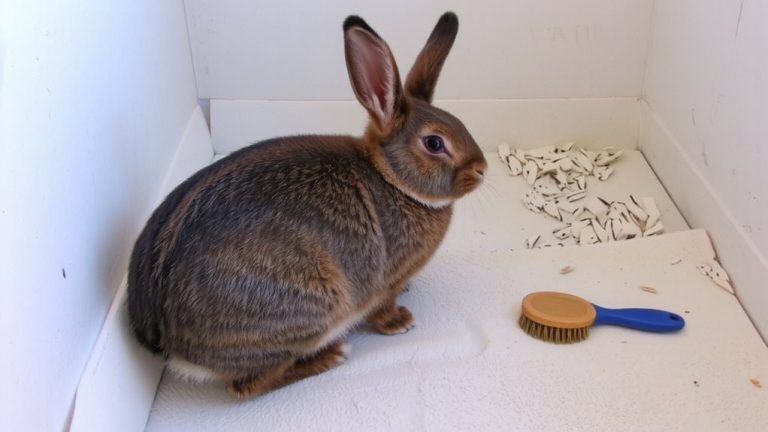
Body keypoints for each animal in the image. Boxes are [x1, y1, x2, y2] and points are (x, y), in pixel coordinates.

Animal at [127, 11, 487, 398]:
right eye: (434, 143)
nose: (482, 169)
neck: (392, 179)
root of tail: (171, 346)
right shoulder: (383, 282)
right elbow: (382, 308)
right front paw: (400, 322)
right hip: (306, 310)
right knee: (247, 385)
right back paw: (331, 356)